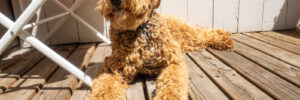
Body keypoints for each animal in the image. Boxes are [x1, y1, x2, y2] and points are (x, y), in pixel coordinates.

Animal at [91, 0, 234, 99]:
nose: (115, 1)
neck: (140, 30)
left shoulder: (173, 62)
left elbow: (172, 83)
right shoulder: (113, 68)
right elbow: (105, 89)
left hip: (187, 34)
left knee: (203, 33)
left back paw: (225, 38)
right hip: (186, 42)